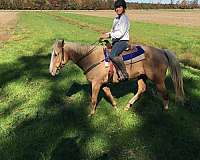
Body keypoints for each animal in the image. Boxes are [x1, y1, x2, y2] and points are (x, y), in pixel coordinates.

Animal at [49, 39, 184, 115]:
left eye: (56, 54)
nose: (51, 71)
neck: (91, 58)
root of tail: (162, 51)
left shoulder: (96, 84)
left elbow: (93, 99)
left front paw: (91, 114)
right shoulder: (103, 84)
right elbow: (109, 94)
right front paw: (115, 106)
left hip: (158, 80)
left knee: (165, 94)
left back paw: (165, 110)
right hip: (142, 76)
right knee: (142, 89)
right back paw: (128, 106)